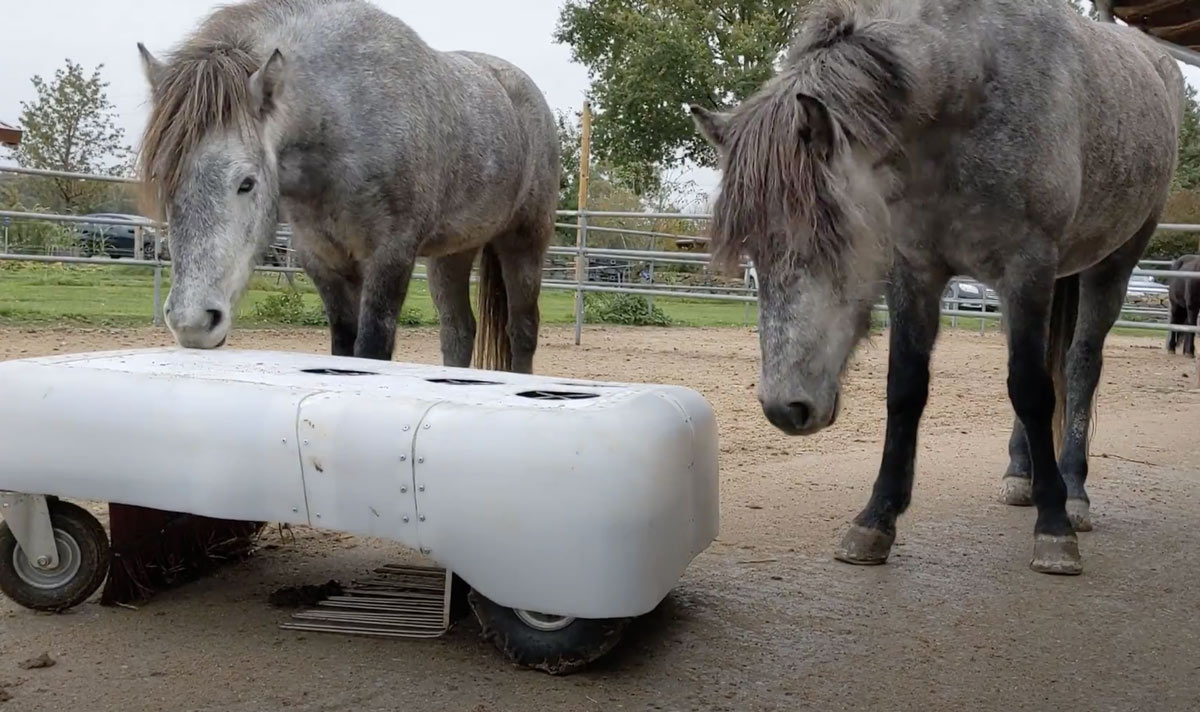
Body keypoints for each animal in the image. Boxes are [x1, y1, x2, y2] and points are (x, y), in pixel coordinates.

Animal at [135, 1, 556, 372]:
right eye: (161, 179)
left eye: (247, 183)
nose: (192, 323)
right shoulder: (323, 262)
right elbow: (343, 346)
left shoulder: (390, 257)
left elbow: (371, 349)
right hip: (451, 256)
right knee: (458, 332)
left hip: (524, 242)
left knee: (522, 331)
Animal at [691, 0, 1185, 573]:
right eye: (753, 249)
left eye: (827, 235)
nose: (783, 409)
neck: (966, 89)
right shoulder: (916, 271)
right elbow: (906, 388)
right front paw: (875, 520)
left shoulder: (1027, 267)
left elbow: (1031, 389)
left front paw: (1055, 527)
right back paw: (1022, 476)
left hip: (1113, 262)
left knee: (1080, 365)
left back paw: (1074, 492)